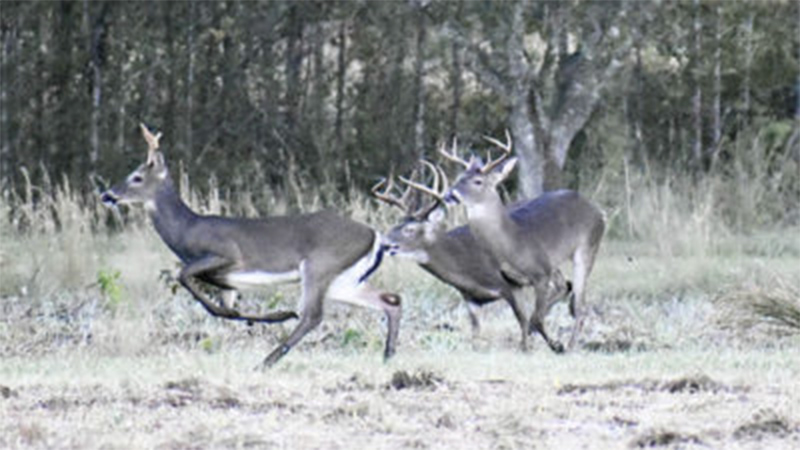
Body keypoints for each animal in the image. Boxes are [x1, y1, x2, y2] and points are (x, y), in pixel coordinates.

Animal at [101, 124, 401, 367]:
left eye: (136, 177)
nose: (107, 195)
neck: (187, 230)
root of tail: (376, 235)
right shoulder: (227, 279)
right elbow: (222, 305)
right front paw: (259, 314)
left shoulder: (228, 254)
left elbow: (185, 276)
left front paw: (280, 314)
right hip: (343, 280)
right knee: (391, 299)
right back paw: (388, 356)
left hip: (320, 266)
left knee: (312, 316)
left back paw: (267, 360)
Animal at [372, 160, 572, 352]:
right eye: (395, 225)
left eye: (409, 229)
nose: (385, 244)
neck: (467, 265)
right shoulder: (469, 297)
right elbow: (475, 331)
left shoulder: (509, 285)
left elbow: (521, 317)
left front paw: (527, 347)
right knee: (563, 286)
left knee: (561, 286)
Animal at [440, 132, 605, 352]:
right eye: (459, 179)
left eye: (478, 181)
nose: (449, 194)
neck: (512, 242)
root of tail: (598, 211)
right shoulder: (514, 280)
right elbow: (523, 317)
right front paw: (525, 346)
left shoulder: (540, 274)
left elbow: (535, 317)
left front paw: (555, 345)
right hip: (554, 261)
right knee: (564, 288)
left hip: (587, 246)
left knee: (579, 305)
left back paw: (570, 347)